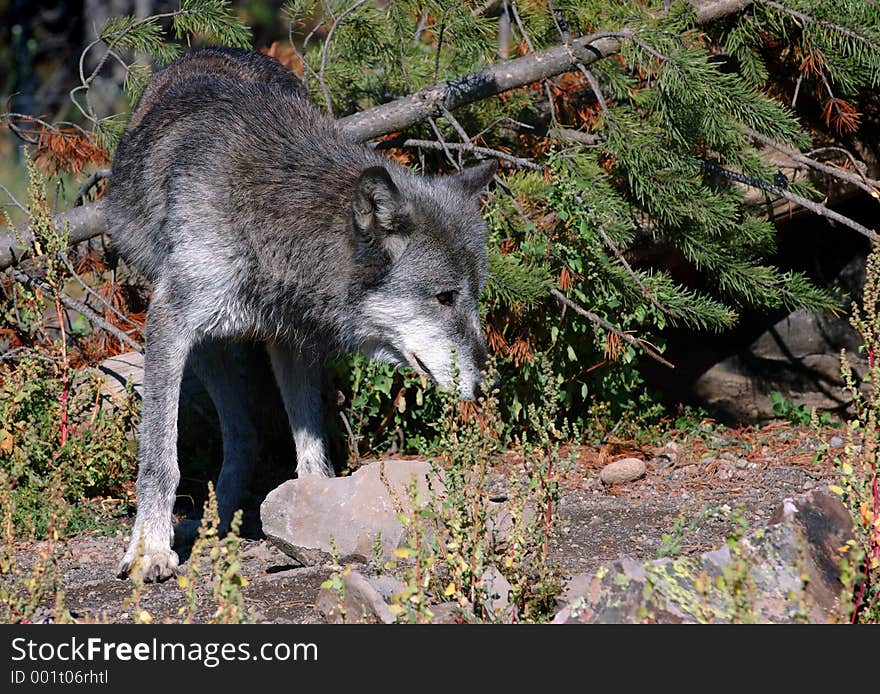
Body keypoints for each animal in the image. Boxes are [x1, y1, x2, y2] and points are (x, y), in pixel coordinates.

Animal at [107, 46, 496, 584]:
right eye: (443, 297)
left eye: (473, 296)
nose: (484, 385)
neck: (273, 220)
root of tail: (210, 48)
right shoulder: (170, 323)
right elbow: (160, 460)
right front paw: (149, 550)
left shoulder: (293, 339)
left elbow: (312, 444)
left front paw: (317, 513)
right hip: (205, 346)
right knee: (241, 432)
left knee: (248, 433)